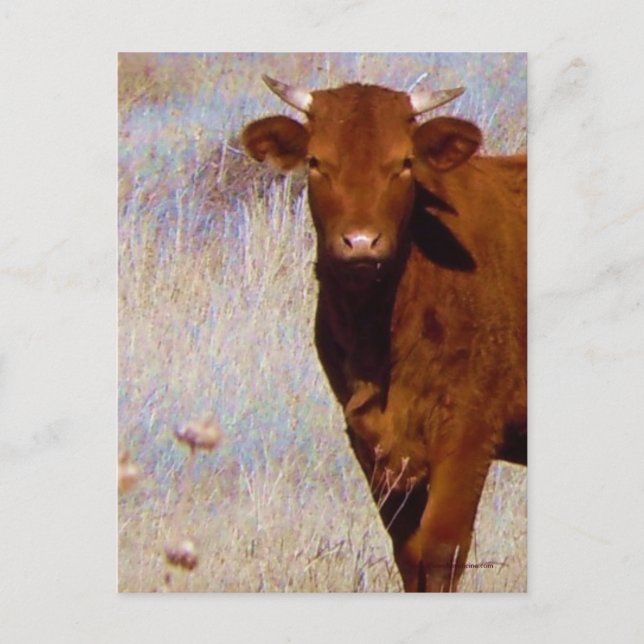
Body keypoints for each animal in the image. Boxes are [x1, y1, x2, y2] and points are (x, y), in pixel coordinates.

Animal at [242, 75, 527, 592]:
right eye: (316, 162)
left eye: (404, 163)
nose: (360, 243)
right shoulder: (370, 439)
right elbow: (409, 554)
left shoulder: (470, 429)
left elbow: (441, 551)